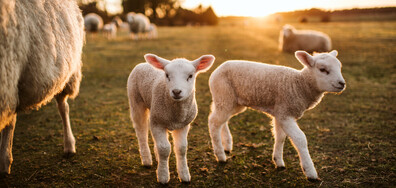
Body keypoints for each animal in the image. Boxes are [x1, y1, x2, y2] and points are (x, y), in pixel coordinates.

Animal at [127, 53, 215, 184]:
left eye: (190, 76)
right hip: (136, 101)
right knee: (141, 131)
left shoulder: (183, 125)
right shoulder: (158, 123)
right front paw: (163, 176)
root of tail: (142, 63)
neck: (176, 115)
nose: (176, 91)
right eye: (167, 75)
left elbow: (181, 148)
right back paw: (147, 160)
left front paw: (184, 175)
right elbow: (164, 149)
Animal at [209, 49, 344, 181]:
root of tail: (218, 68)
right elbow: (300, 139)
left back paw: (227, 145)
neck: (300, 85)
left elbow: (280, 137)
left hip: (233, 102)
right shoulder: (285, 114)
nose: (342, 83)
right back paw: (220, 155)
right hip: (224, 95)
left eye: (339, 67)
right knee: (214, 122)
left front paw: (278, 161)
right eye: (322, 69)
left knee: (222, 120)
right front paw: (310, 172)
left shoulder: (280, 112)